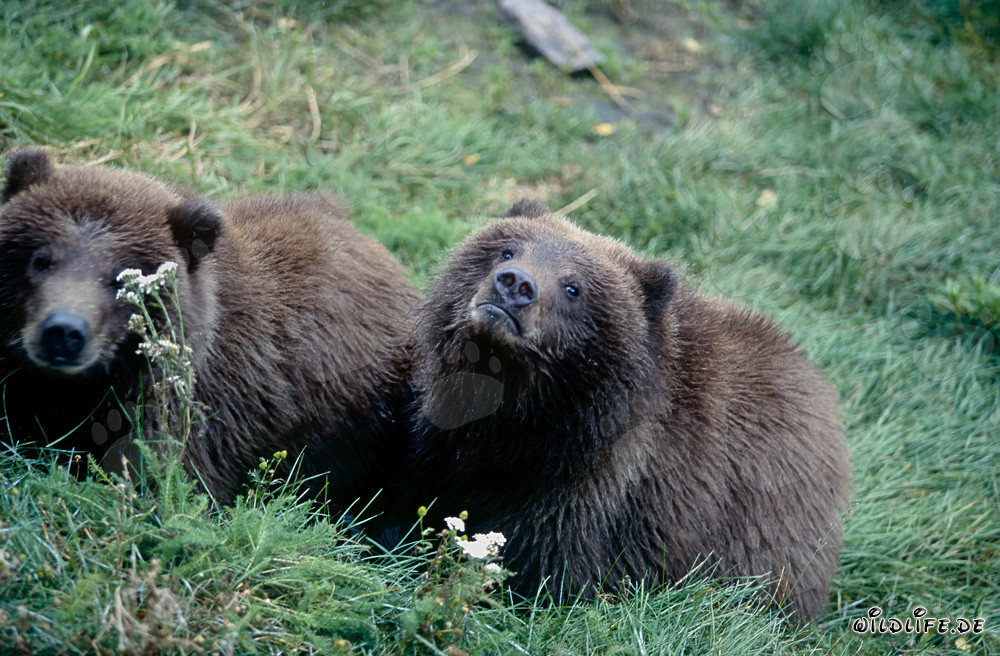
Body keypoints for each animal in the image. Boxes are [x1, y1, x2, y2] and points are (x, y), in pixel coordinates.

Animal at [401, 199, 852, 622]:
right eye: (507, 250)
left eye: (573, 287)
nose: (514, 285)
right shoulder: (449, 440)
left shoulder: (601, 496)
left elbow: (550, 568)